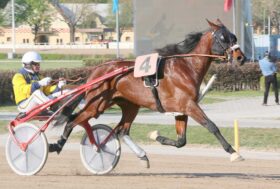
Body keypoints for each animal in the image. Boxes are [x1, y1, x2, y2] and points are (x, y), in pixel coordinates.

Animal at [54, 18, 245, 164]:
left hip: (129, 105)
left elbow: (181, 141)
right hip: (97, 105)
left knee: (121, 130)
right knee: (72, 120)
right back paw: (58, 145)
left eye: (234, 37)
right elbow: (211, 126)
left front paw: (156, 136)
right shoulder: (189, 105)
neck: (187, 67)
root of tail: (95, 71)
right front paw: (233, 152)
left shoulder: (182, 109)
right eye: (223, 38)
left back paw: (139, 154)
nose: (241, 57)